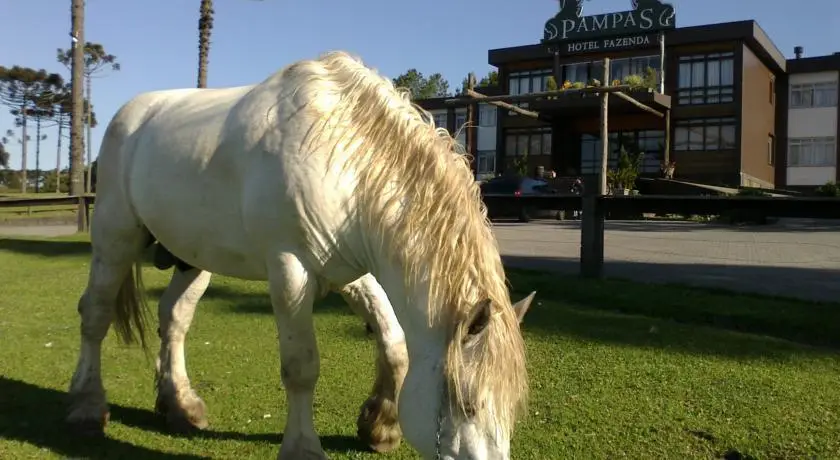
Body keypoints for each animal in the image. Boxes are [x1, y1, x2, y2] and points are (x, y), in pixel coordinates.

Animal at [69, 51, 536, 460]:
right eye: (469, 404)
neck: (345, 160)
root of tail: (132, 114)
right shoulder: (289, 271)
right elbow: (301, 367)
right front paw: (304, 448)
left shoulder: (354, 272)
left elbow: (394, 342)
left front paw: (380, 426)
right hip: (115, 236)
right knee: (95, 313)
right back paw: (87, 407)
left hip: (194, 257)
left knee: (174, 317)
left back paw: (180, 405)